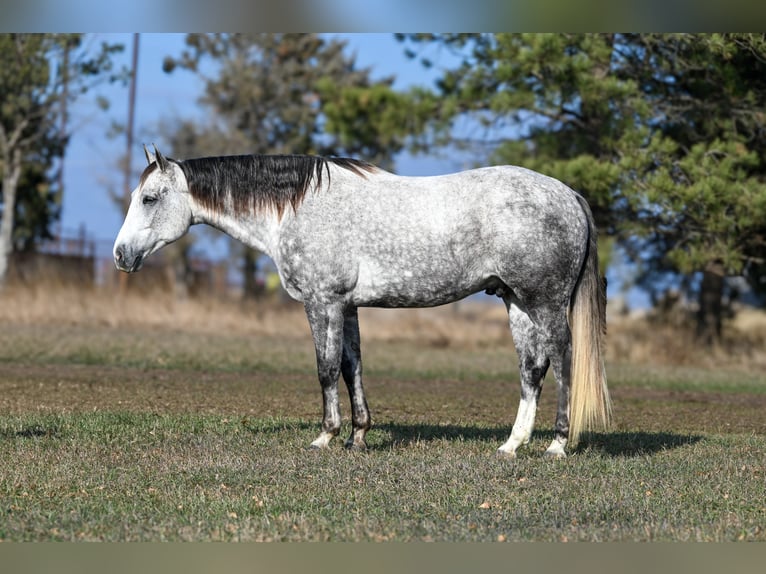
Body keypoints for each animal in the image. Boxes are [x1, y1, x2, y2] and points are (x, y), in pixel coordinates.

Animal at [114, 145, 611, 459]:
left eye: (149, 198)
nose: (120, 255)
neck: (298, 208)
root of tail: (569, 195)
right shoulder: (347, 307)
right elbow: (352, 367)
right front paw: (358, 437)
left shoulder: (323, 303)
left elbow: (326, 367)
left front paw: (325, 437)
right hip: (516, 302)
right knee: (532, 368)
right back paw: (511, 446)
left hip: (544, 302)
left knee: (563, 361)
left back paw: (556, 445)